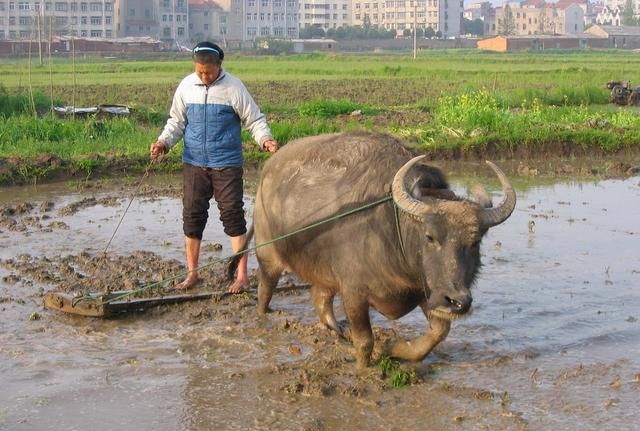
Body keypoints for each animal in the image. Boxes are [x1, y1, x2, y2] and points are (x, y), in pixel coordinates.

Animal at [238, 131, 512, 368]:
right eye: (430, 236)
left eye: (475, 242)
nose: (457, 302)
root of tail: (268, 171)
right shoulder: (354, 293)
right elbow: (365, 342)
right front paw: (364, 367)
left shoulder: (428, 291)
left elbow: (437, 334)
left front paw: (392, 349)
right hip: (268, 256)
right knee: (265, 290)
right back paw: (264, 317)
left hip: (324, 273)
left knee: (321, 298)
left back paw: (335, 331)